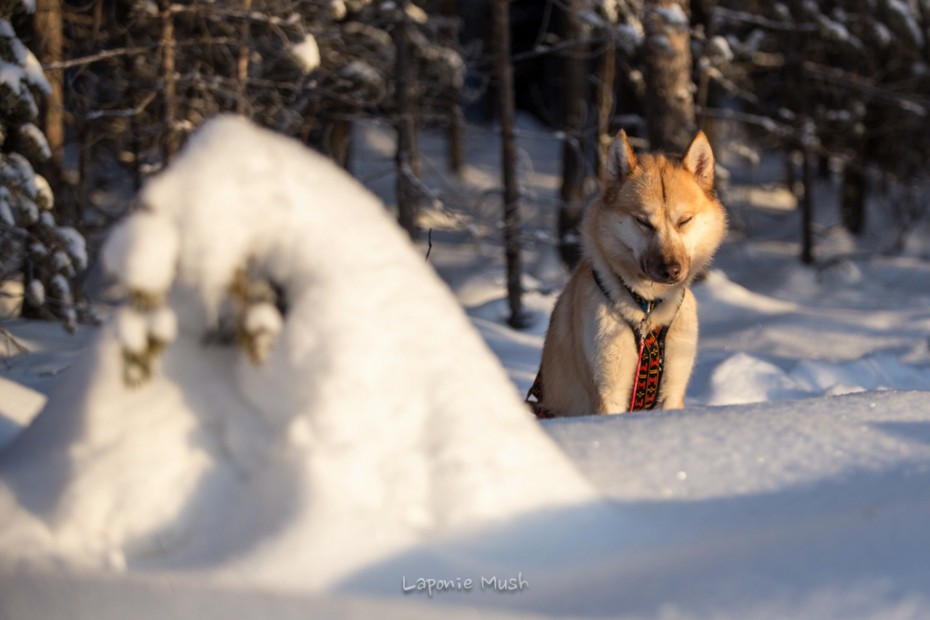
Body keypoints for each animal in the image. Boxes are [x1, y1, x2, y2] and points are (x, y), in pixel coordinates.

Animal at [524, 130, 728, 416]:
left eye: (684, 220)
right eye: (643, 221)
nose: (671, 270)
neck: (648, 308)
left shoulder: (673, 390)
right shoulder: (608, 393)